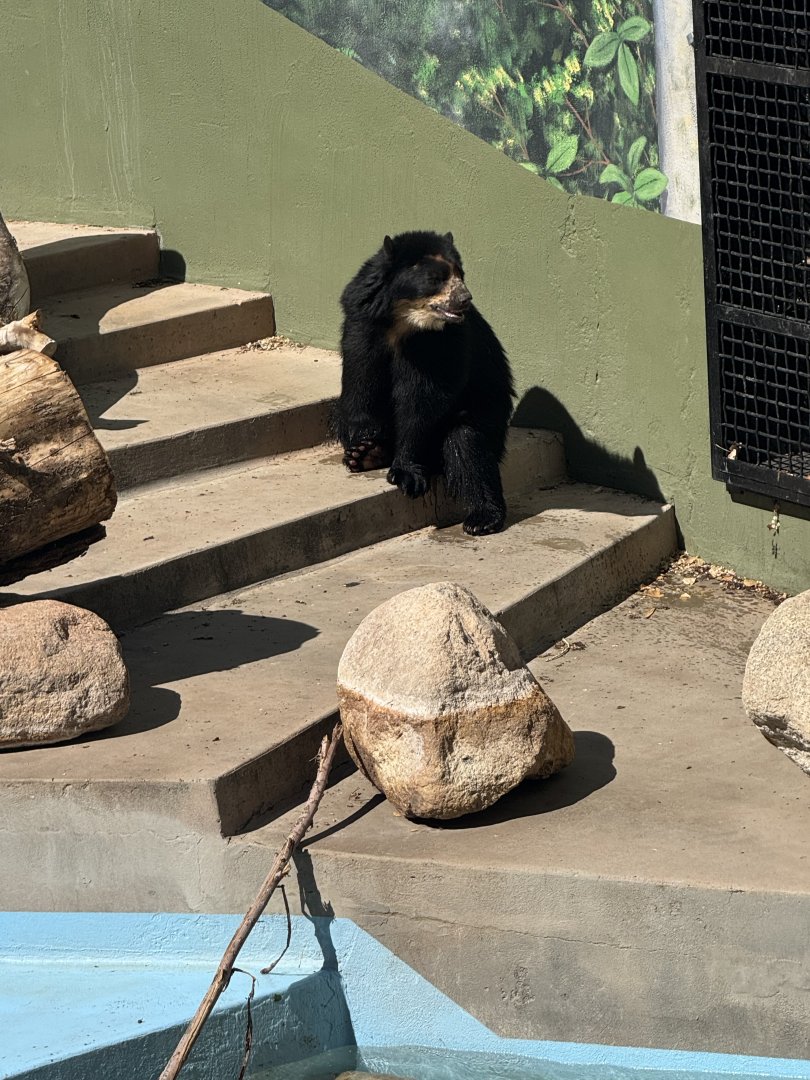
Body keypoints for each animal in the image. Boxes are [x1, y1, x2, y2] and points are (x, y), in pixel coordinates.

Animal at [332, 230, 515, 535]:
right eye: (435, 278)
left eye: (460, 274)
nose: (464, 298)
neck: (403, 321)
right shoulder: (363, 324)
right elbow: (361, 381)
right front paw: (362, 447)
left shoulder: (439, 344)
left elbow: (423, 400)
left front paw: (406, 473)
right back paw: (369, 454)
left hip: (490, 417)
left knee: (467, 445)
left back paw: (482, 519)